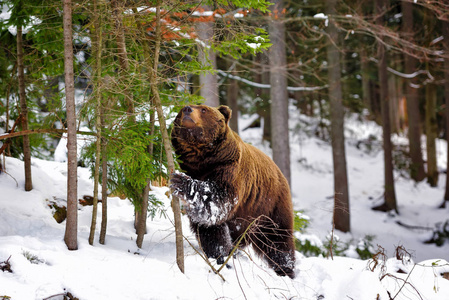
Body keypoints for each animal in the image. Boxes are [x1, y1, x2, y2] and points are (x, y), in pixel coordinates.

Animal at [171, 105, 294, 278]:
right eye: (181, 110)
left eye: (203, 109)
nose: (187, 109)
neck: (202, 160)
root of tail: (279, 170)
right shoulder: (192, 169)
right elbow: (210, 227)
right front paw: (220, 256)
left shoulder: (229, 168)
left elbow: (217, 200)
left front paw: (180, 181)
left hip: (270, 205)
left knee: (277, 238)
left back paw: (285, 269)